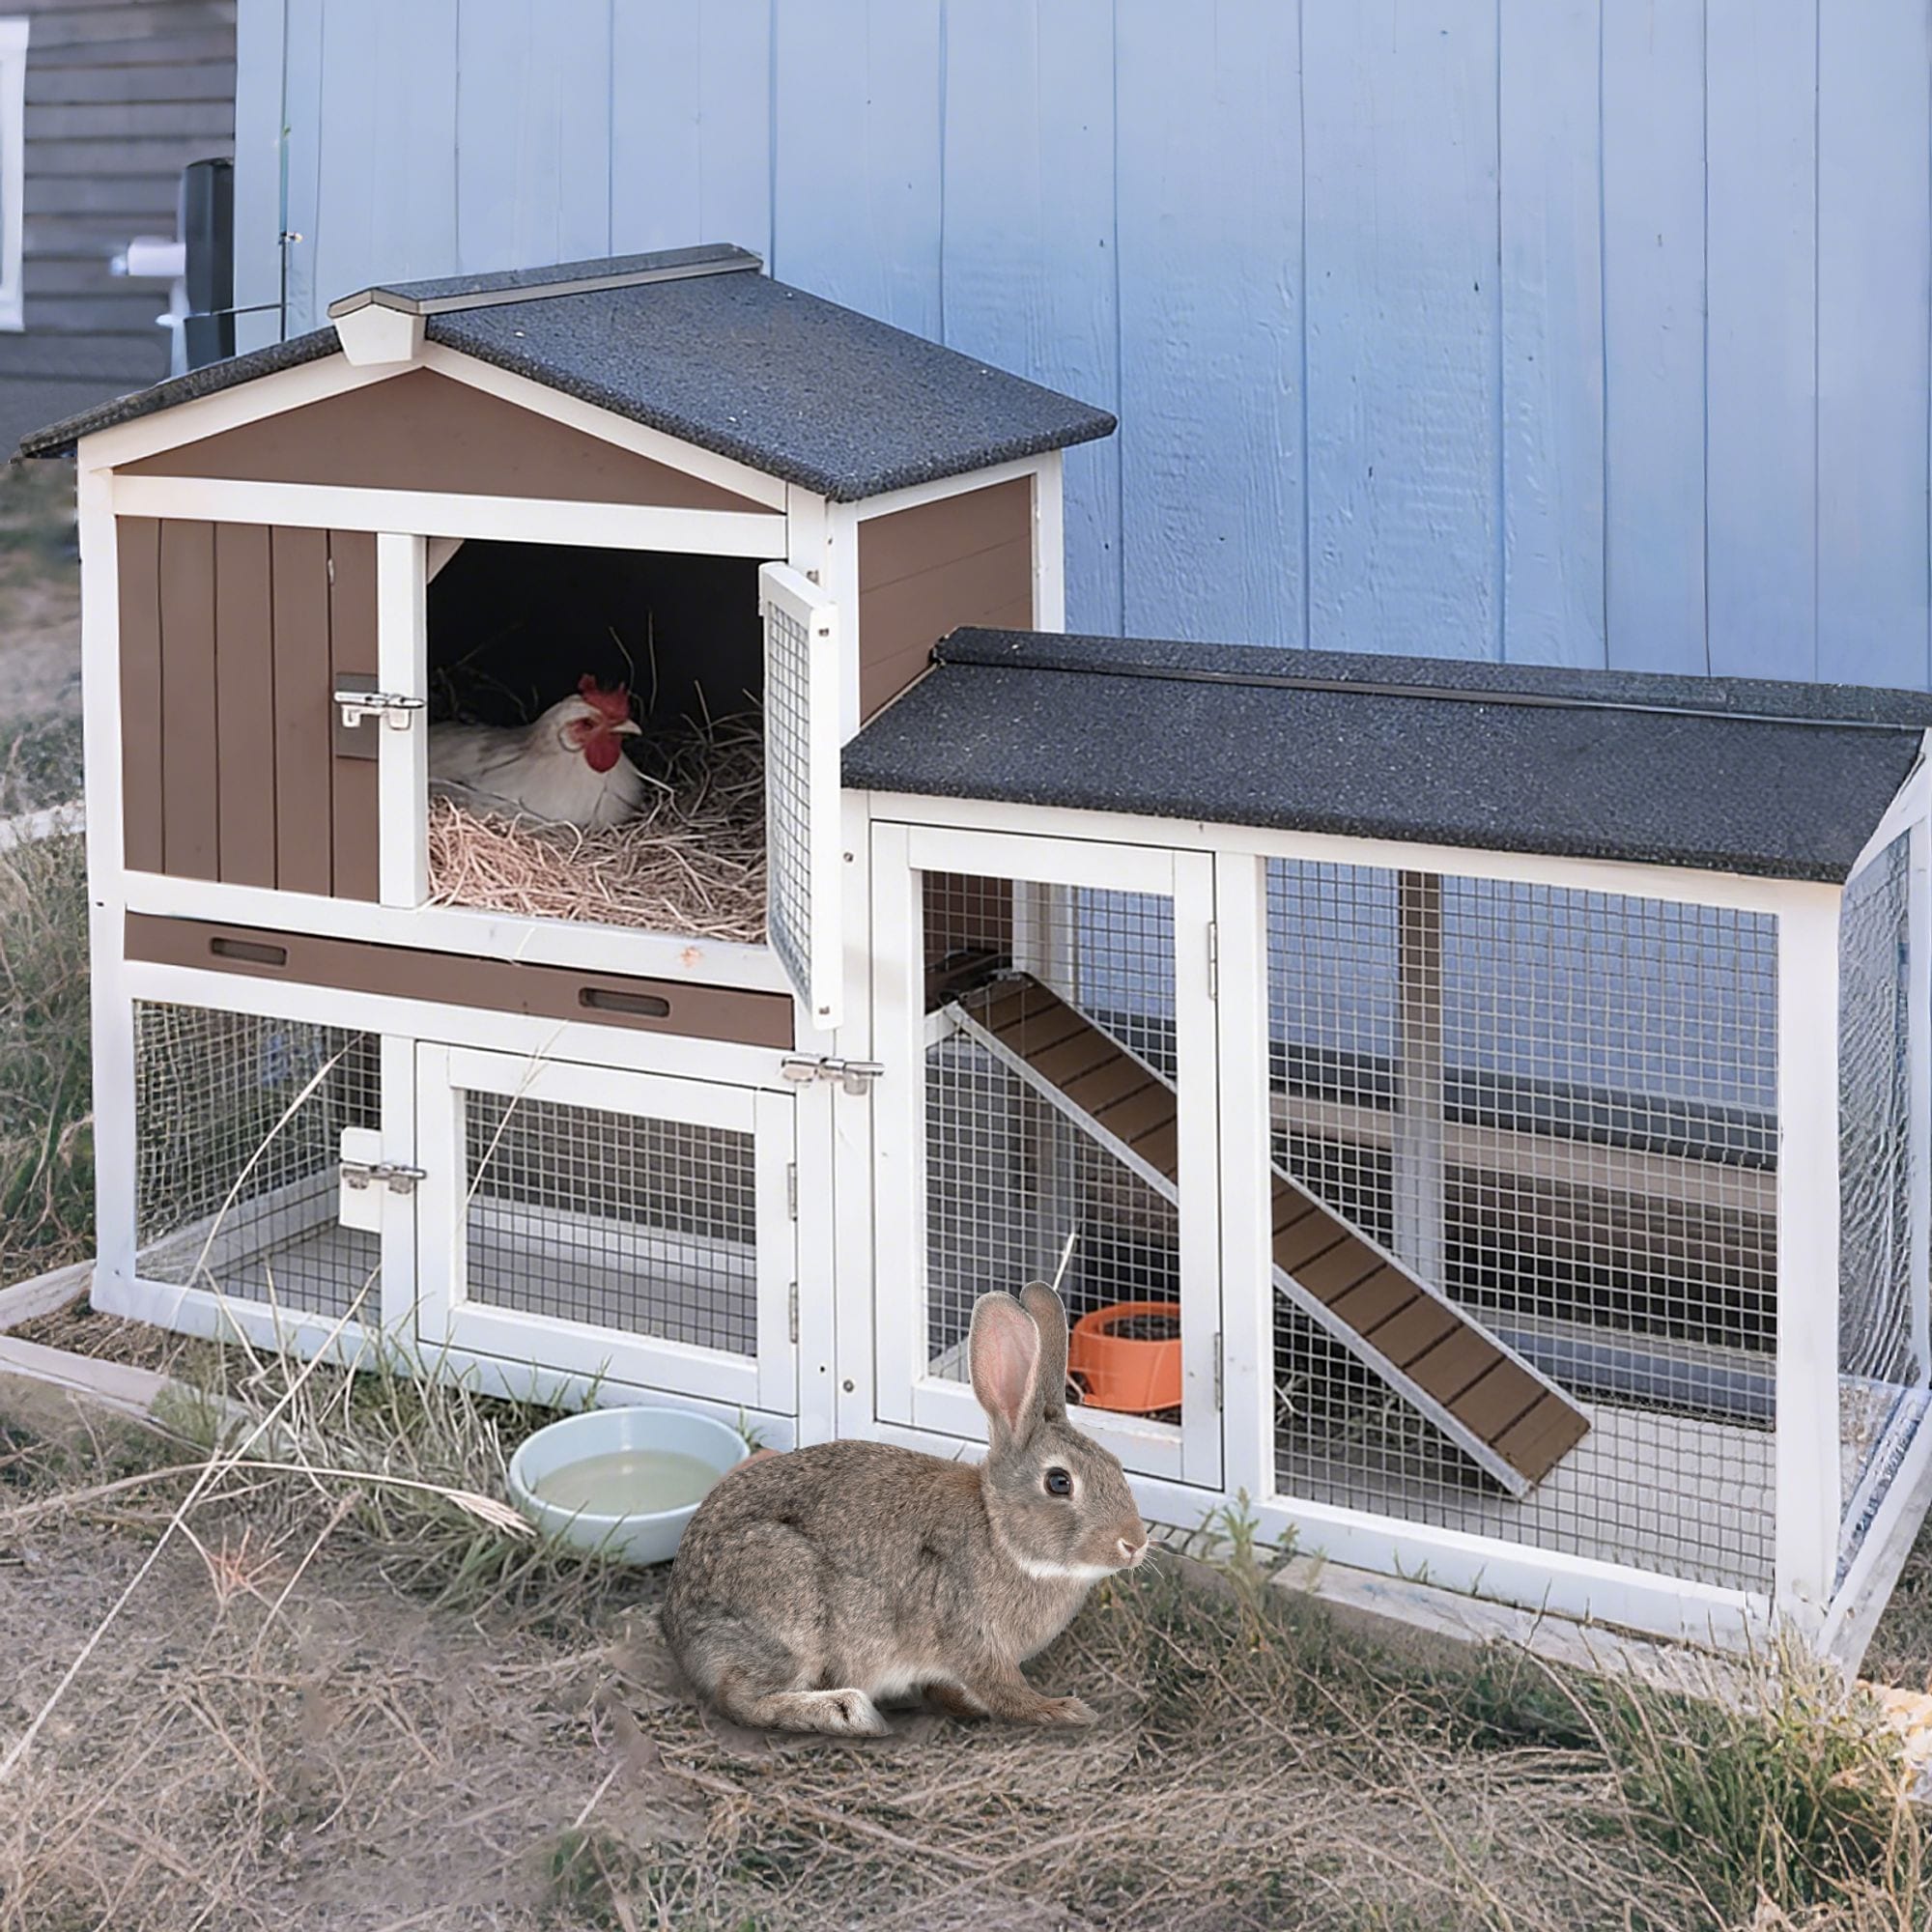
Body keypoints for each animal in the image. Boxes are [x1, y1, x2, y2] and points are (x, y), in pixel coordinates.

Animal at [660, 1283, 1150, 1736]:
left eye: (1117, 1465)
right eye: (1059, 1482)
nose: (1134, 1543)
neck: (1001, 1535)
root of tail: (678, 1626)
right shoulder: (972, 1638)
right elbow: (1005, 1691)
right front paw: (1061, 1710)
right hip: (790, 1609)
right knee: (741, 1699)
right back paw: (846, 1713)